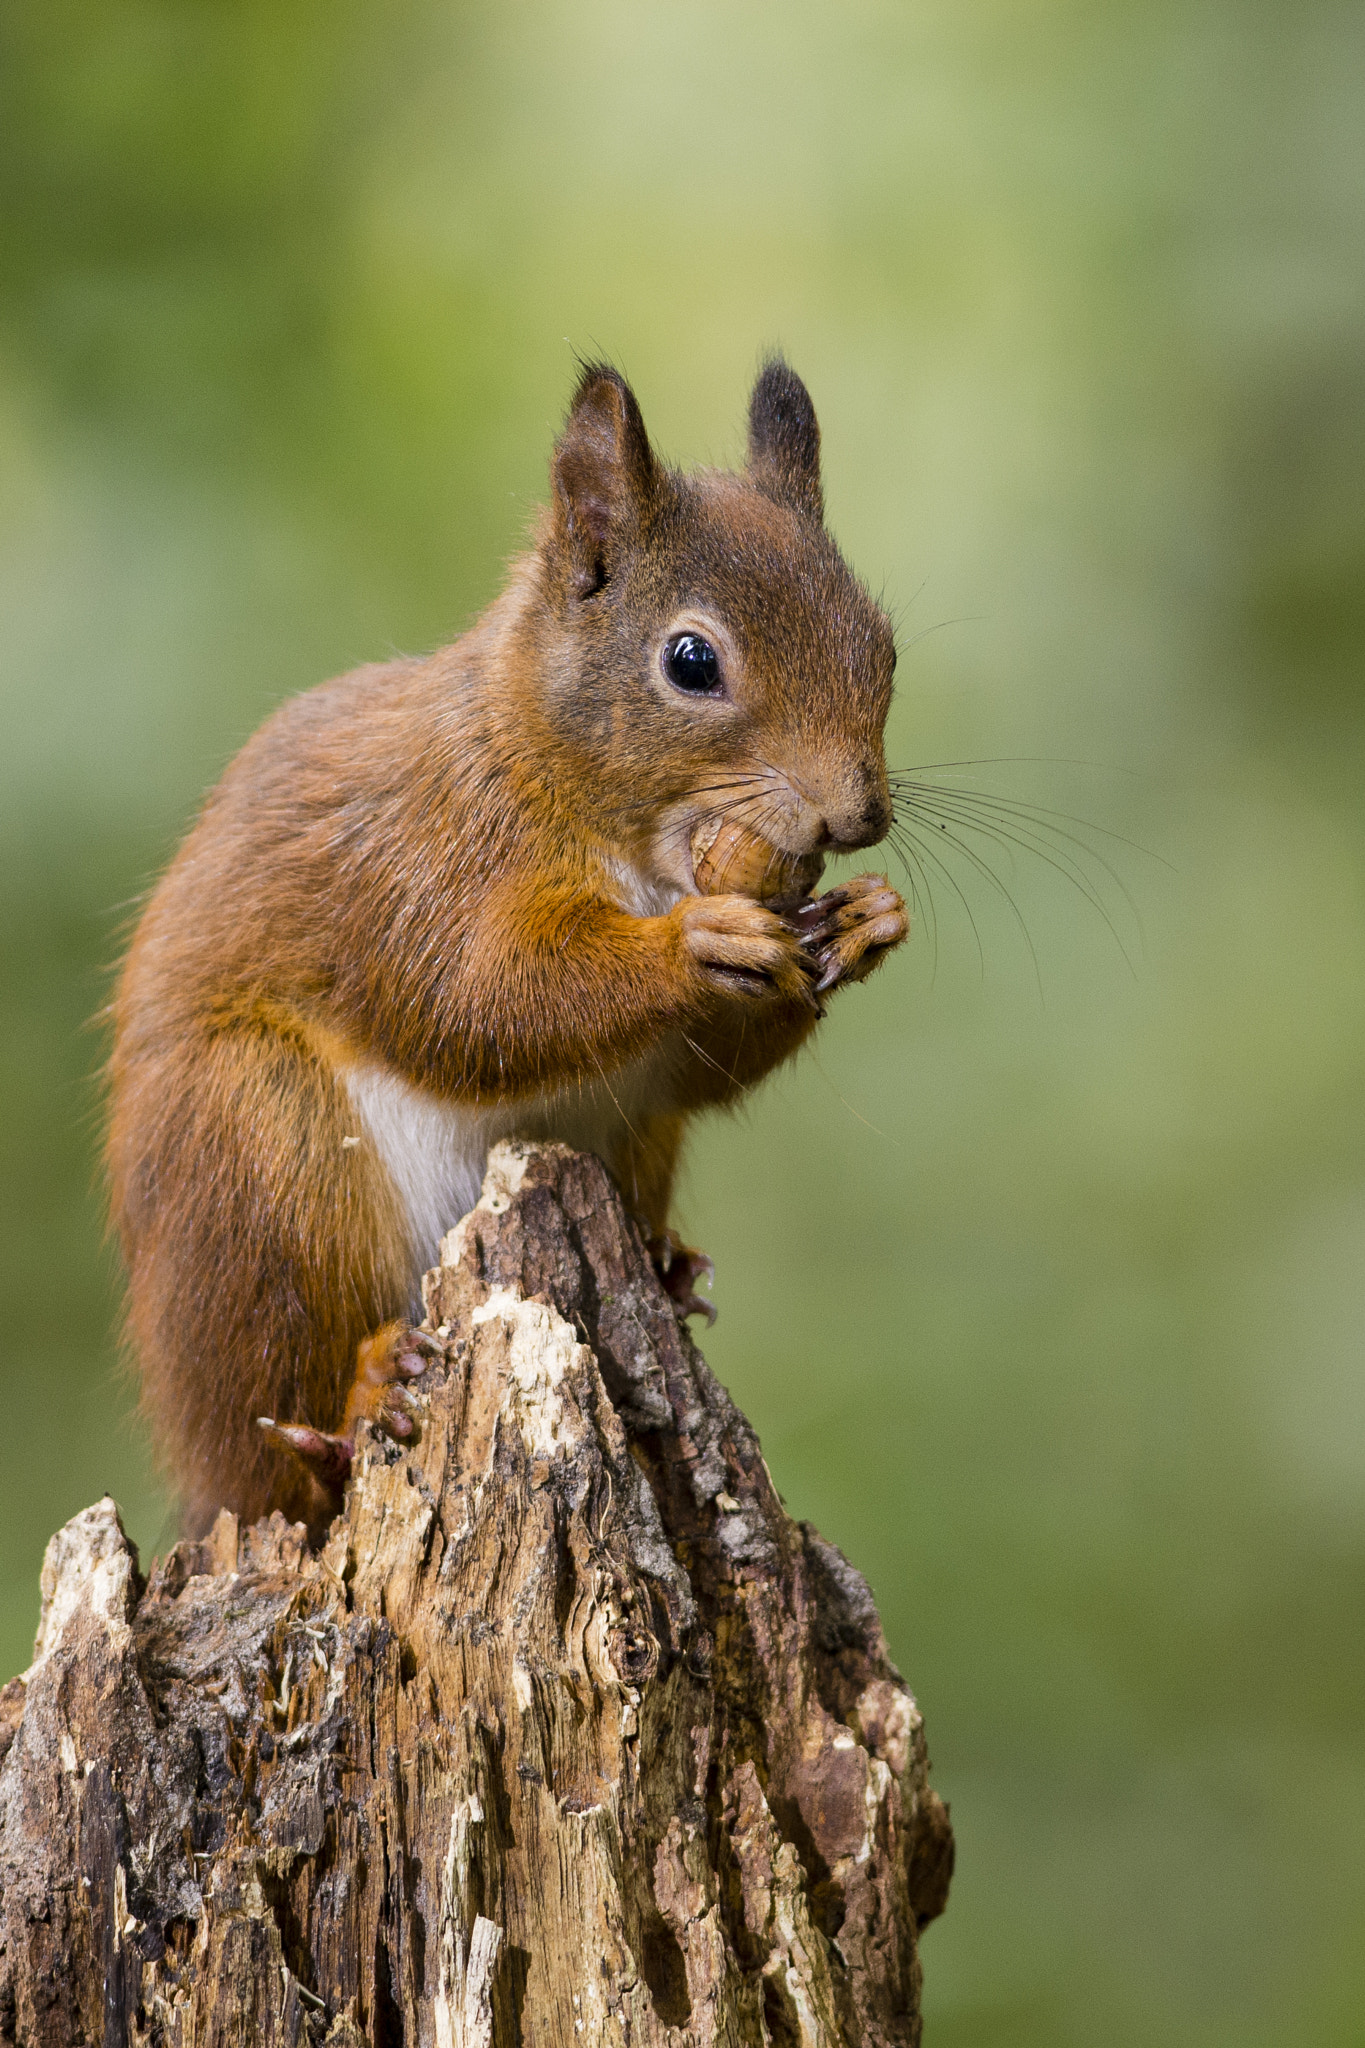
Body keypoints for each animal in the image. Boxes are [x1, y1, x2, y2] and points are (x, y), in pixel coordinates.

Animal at [105, 357, 908, 1536]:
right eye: (691, 661)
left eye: (882, 641)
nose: (858, 817)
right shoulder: (422, 862)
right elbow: (475, 1005)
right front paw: (691, 943)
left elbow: (693, 1070)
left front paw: (867, 921)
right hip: (258, 1158)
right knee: (278, 1427)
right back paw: (359, 1399)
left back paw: (668, 1266)